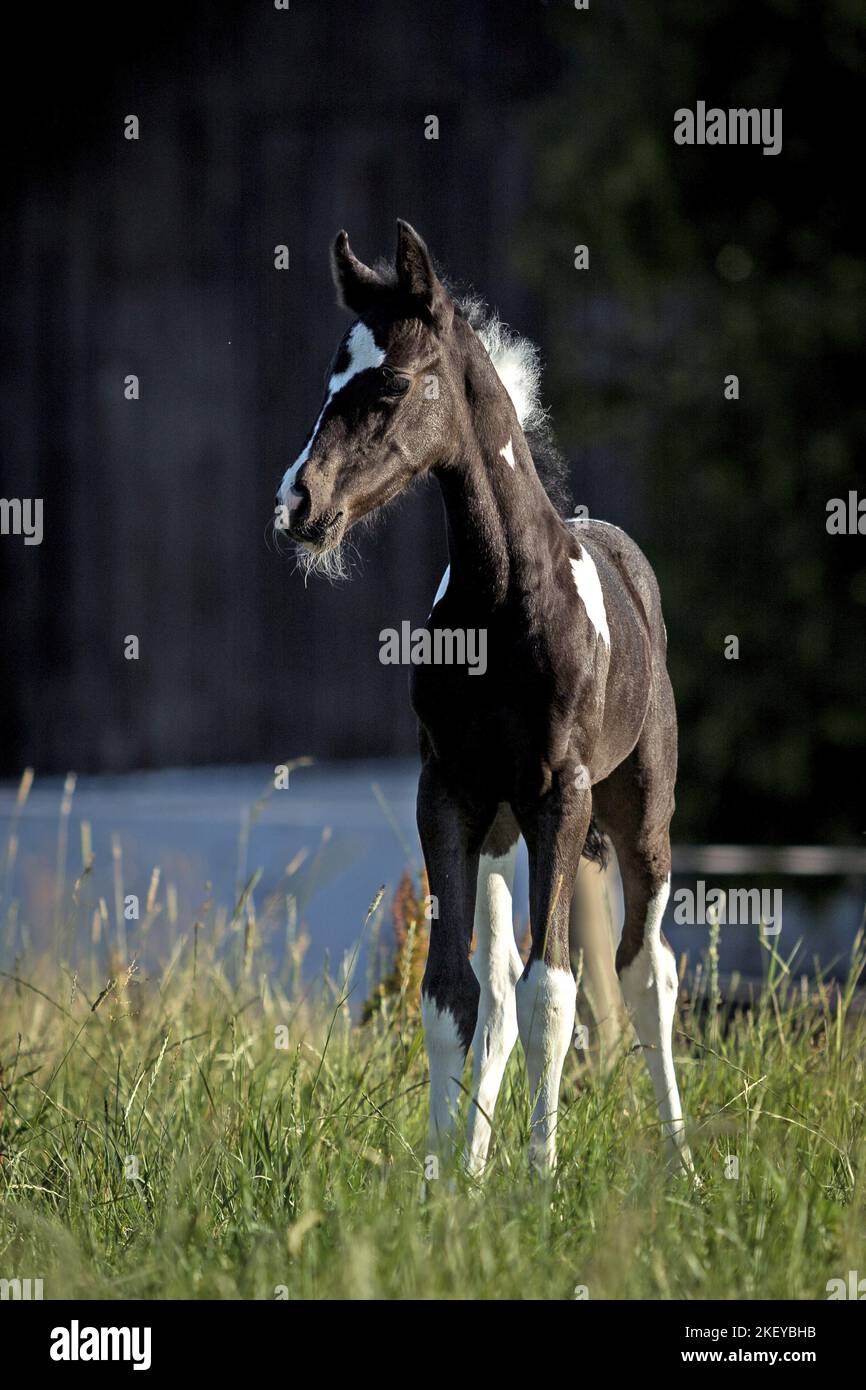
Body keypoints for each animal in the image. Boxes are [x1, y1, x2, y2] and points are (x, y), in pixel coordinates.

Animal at [275, 221, 693, 1177]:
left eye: (392, 383)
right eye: (329, 383)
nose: (297, 503)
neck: (505, 598)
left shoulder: (561, 799)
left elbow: (555, 993)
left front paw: (539, 1177)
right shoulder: (451, 794)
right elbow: (453, 994)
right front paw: (443, 1178)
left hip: (637, 816)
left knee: (644, 972)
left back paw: (683, 1163)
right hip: (503, 830)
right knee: (501, 988)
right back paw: (474, 1163)